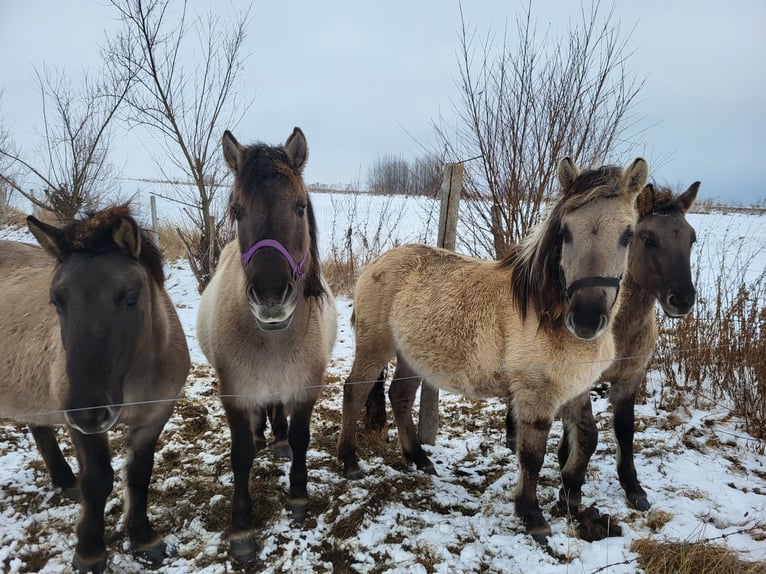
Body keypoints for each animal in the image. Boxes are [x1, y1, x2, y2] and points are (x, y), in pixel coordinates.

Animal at [0, 205, 190, 573]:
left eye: (130, 298)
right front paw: (89, 552)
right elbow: (98, 479)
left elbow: (139, 474)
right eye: (56, 301)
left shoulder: (154, 417)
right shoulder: (82, 427)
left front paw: (144, 538)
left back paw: (64, 481)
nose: (86, 410)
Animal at [196, 128, 337, 564]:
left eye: (299, 206)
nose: (272, 296)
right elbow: (240, 454)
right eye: (238, 210)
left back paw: (277, 441)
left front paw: (298, 496)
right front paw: (241, 527)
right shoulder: (236, 393)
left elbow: (302, 438)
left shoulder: (306, 387)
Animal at [337, 157, 649, 543]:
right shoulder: (535, 394)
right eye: (565, 232)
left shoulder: (576, 387)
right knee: (355, 391)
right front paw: (533, 516)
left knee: (401, 396)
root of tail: (378, 262)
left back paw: (419, 459)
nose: (587, 318)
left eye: (628, 235)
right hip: (375, 347)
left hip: (412, 356)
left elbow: (587, 437)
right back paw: (350, 462)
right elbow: (532, 455)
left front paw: (570, 499)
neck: (547, 313)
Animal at [504, 181, 700, 520]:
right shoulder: (580, 382)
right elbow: (590, 434)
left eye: (691, 238)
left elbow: (624, 430)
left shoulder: (630, 378)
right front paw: (570, 491)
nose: (682, 299)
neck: (621, 329)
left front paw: (633, 488)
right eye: (647, 238)